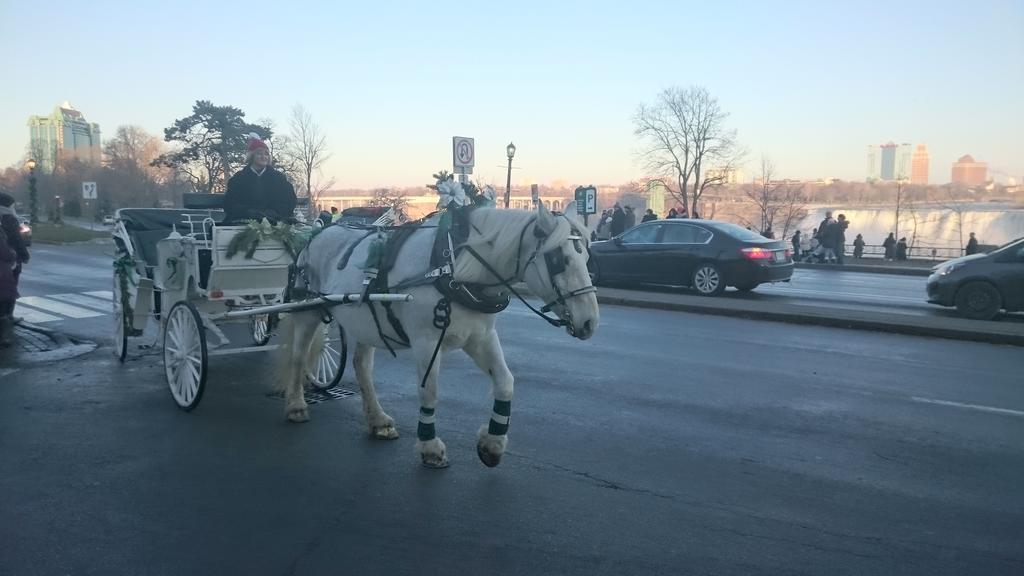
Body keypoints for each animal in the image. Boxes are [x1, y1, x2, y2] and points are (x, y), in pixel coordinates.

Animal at [276, 199, 602, 463]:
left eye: (587, 257)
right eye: (558, 259)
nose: (590, 322)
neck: (454, 269)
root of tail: (315, 235)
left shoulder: (480, 337)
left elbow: (505, 381)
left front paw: (493, 443)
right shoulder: (426, 341)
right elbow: (429, 390)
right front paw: (430, 446)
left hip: (365, 319)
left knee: (362, 367)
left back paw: (378, 419)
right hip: (308, 311)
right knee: (298, 356)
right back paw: (296, 406)